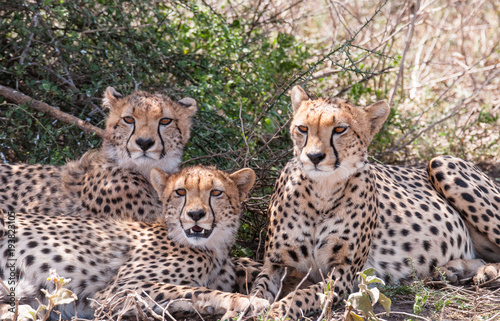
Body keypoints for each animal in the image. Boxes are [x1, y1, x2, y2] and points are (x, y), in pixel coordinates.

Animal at [0, 165, 270, 318]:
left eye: (216, 193)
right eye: (180, 192)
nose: (195, 214)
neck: (212, 247)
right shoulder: (113, 292)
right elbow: (195, 289)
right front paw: (249, 300)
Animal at [250, 85, 500, 318]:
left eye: (340, 129)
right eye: (302, 128)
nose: (314, 157)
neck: (321, 191)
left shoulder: (345, 273)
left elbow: (305, 294)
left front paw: (278, 310)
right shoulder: (274, 264)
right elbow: (257, 289)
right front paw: (251, 306)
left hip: (441, 162)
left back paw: (486, 272)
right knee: (480, 257)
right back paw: (453, 270)